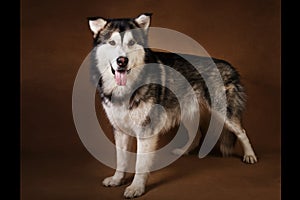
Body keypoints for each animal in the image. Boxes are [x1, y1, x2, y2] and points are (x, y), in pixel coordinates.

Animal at [87, 13, 258, 198]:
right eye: (112, 42)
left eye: (131, 42)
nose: (122, 61)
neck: (125, 89)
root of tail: (230, 65)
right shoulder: (120, 130)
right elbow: (121, 160)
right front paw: (117, 179)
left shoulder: (145, 131)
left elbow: (140, 164)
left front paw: (136, 188)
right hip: (187, 112)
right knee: (197, 134)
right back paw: (183, 151)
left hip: (223, 113)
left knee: (242, 132)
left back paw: (250, 155)